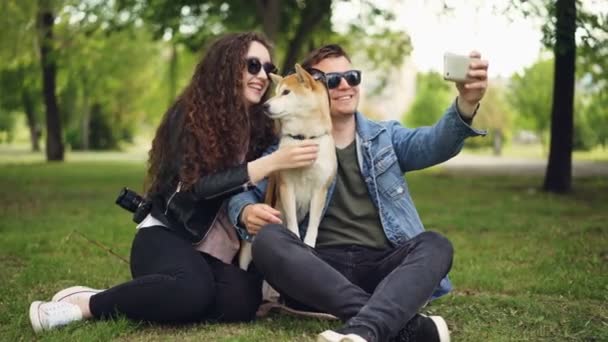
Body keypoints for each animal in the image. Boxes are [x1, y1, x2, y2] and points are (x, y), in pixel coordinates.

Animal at [238, 64, 338, 270]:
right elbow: (292, 221)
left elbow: (313, 224)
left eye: (286, 92)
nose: (265, 105)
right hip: (247, 250)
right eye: (276, 92)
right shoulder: (286, 186)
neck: (304, 138)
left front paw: (308, 245)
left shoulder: (320, 190)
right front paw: (294, 238)